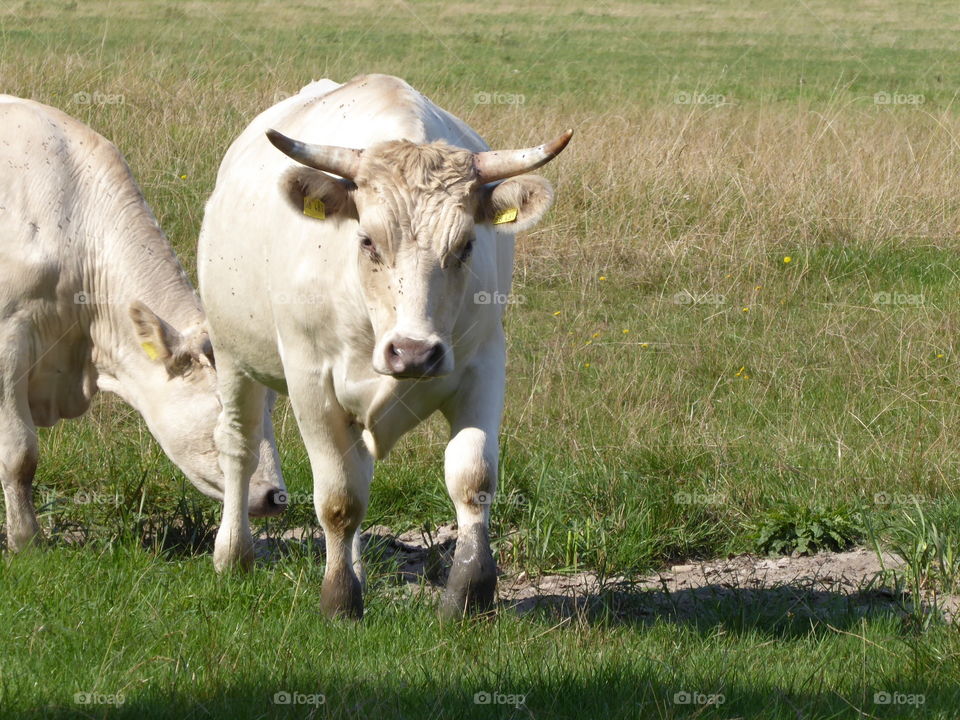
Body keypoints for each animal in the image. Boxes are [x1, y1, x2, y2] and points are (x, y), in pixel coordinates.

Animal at [198, 74, 571, 618]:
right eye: (367, 241)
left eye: (466, 246)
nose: (413, 352)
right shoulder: (310, 380)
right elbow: (337, 498)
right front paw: (338, 601)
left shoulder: (484, 364)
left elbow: (472, 478)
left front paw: (470, 592)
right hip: (233, 356)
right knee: (240, 448)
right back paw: (233, 555)